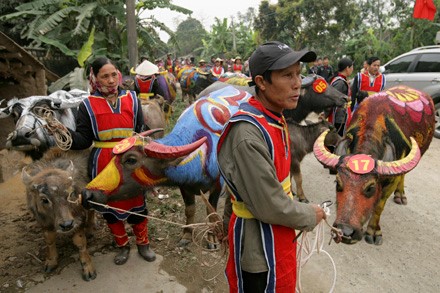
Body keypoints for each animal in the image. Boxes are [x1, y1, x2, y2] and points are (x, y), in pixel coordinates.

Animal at [21, 148, 96, 280]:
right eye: (44, 199)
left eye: (70, 194)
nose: (67, 225)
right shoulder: (43, 222)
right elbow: (49, 240)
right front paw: (51, 262)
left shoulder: (78, 218)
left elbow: (80, 242)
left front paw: (88, 268)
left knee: (91, 210)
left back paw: (90, 230)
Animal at [314, 85, 434, 244]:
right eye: (338, 183)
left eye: (370, 188)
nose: (345, 232)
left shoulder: (391, 180)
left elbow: (379, 206)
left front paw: (373, 232)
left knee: (403, 175)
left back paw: (400, 196)